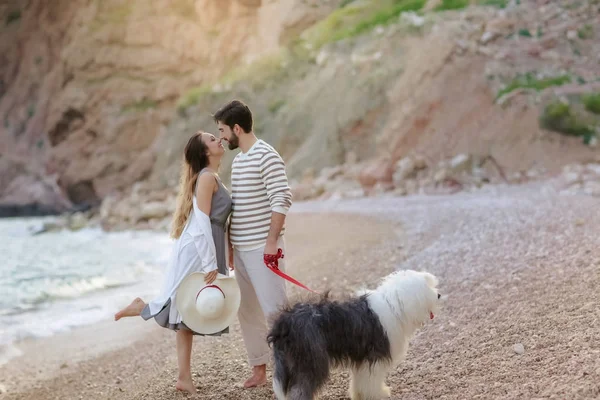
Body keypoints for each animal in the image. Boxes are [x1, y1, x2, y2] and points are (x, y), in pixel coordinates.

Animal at [268, 268, 440, 400]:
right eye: (426, 287)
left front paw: (359, 395)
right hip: (311, 361)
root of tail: (283, 323)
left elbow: (361, 380)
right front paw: (379, 394)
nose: (438, 295)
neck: (393, 306)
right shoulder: (375, 356)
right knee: (300, 389)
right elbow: (372, 381)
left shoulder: (363, 359)